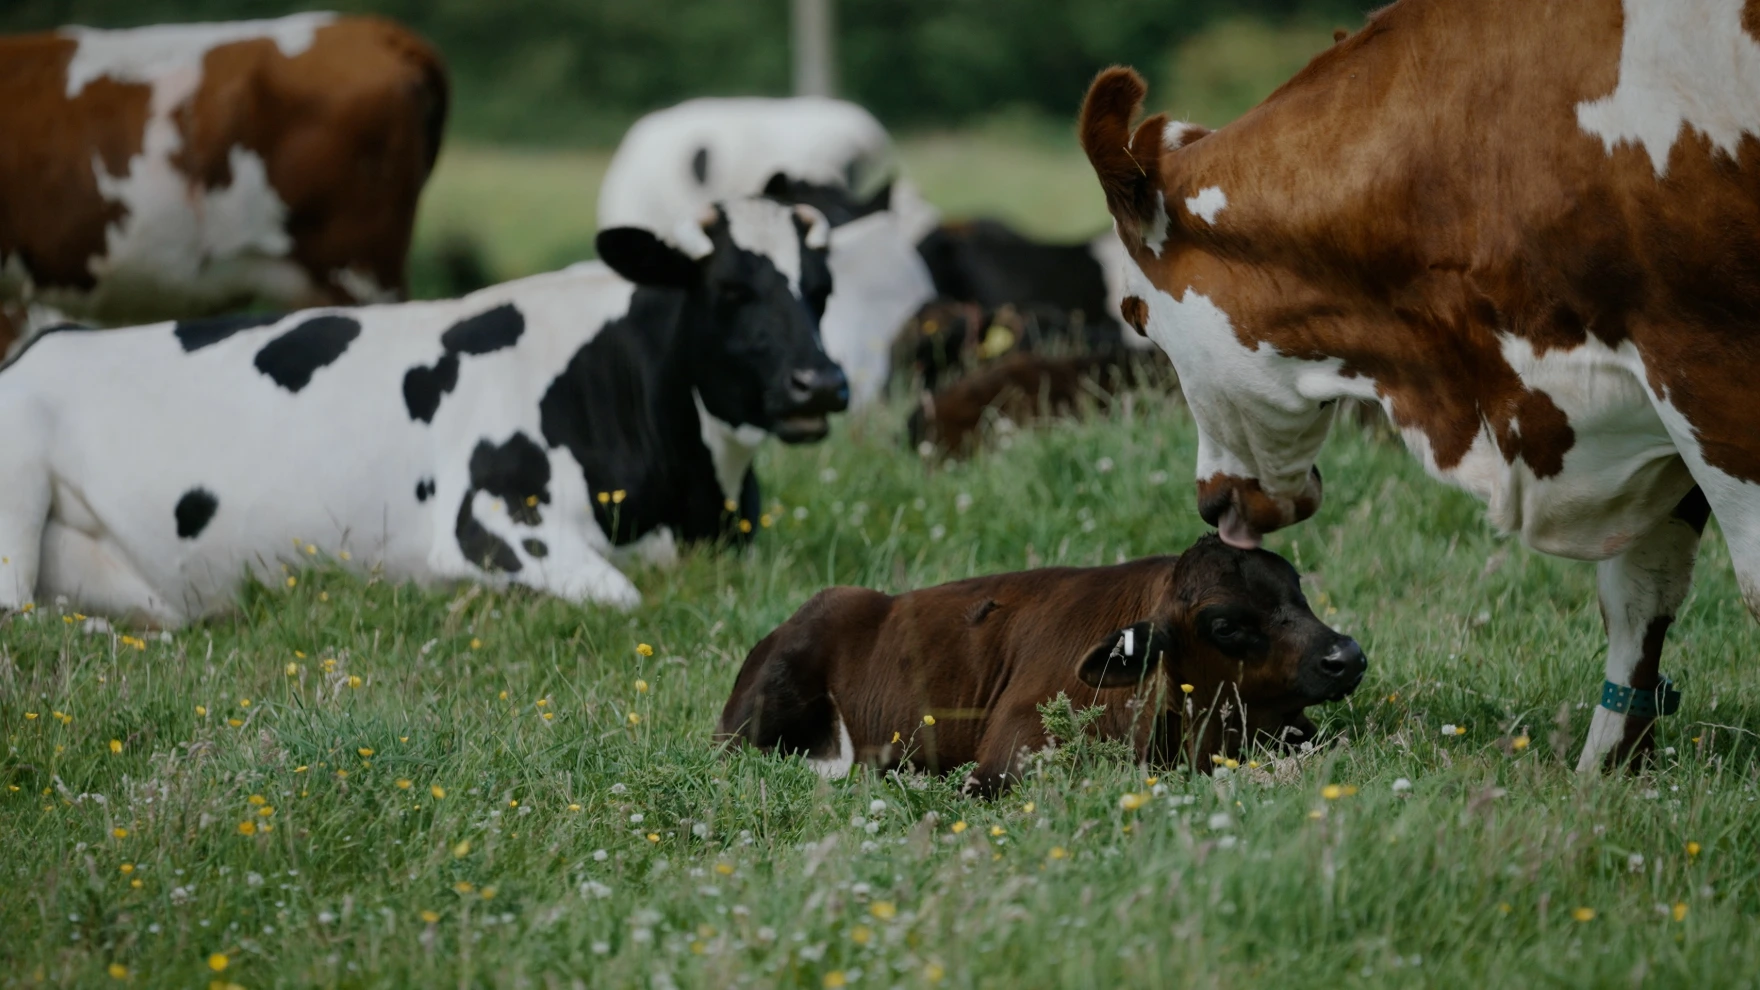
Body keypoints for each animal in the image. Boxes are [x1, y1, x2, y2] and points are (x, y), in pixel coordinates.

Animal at [0, 199, 846, 626]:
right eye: (728, 289)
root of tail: (41, 343)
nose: (821, 382)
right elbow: (621, 595)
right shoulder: (494, 516)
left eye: (821, 288)